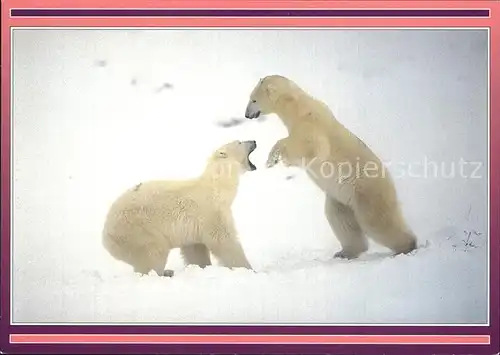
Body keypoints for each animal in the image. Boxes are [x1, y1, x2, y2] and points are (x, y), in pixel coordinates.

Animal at [101, 140, 258, 276]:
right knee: (153, 252)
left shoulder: (193, 225)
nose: (254, 141)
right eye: (239, 141)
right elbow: (224, 241)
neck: (217, 187)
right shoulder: (211, 212)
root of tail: (106, 235)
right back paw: (163, 273)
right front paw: (249, 270)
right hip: (137, 230)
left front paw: (202, 267)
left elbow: (195, 248)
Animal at [244, 75, 416, 260]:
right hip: (341, 200)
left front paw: (273, 158)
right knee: (340, 219)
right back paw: (345, 252)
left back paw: (407, 246)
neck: (297, 106)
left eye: (253, 99)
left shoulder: (311, 125)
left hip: (368, 192)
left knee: (377, 221)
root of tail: (390, 183)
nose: (246, 114)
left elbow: (310, 147)